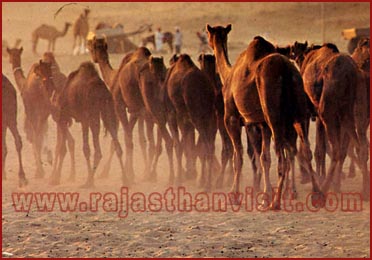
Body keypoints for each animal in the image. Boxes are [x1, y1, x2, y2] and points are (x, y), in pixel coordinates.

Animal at [6, 46, 54, 179]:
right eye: (12, 54)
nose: (10, 60)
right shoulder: (44, 112)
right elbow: (42, 132)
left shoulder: (32, 111)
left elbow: (35, 136)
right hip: (46, 108)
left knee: (35, 136)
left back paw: (39, 171)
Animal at [163, 53, 218, 189]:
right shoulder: (185, 119)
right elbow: (186, 144)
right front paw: (189, 173)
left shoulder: (172, 114)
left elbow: (177, 145)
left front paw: (176, 179)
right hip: (208, 116)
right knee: (208, 145)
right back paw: (204, 181)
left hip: (197, 117)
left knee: (207, 146)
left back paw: (207, 184)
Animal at [206, 24, 322, 210]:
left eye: (209, 34)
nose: (209, 43)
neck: (229, 74)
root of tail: (286, 71)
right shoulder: (260, 123)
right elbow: (263, 157)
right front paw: (264, 195)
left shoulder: (231, 118)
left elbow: (238, 156)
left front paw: (234, 196)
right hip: (298, 111)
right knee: (304, 149)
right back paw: (316, 194)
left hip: (272, 110)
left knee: (282, 155)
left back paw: (276, 202)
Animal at [296, 43, 370, 199]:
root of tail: (351, 73)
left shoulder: (311, 112)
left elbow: (316, 150)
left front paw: (317, 183)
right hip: (356, 109)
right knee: (360, 146)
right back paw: (364, 190)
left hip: (328, 111)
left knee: (336, 149)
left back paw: (322, 192)